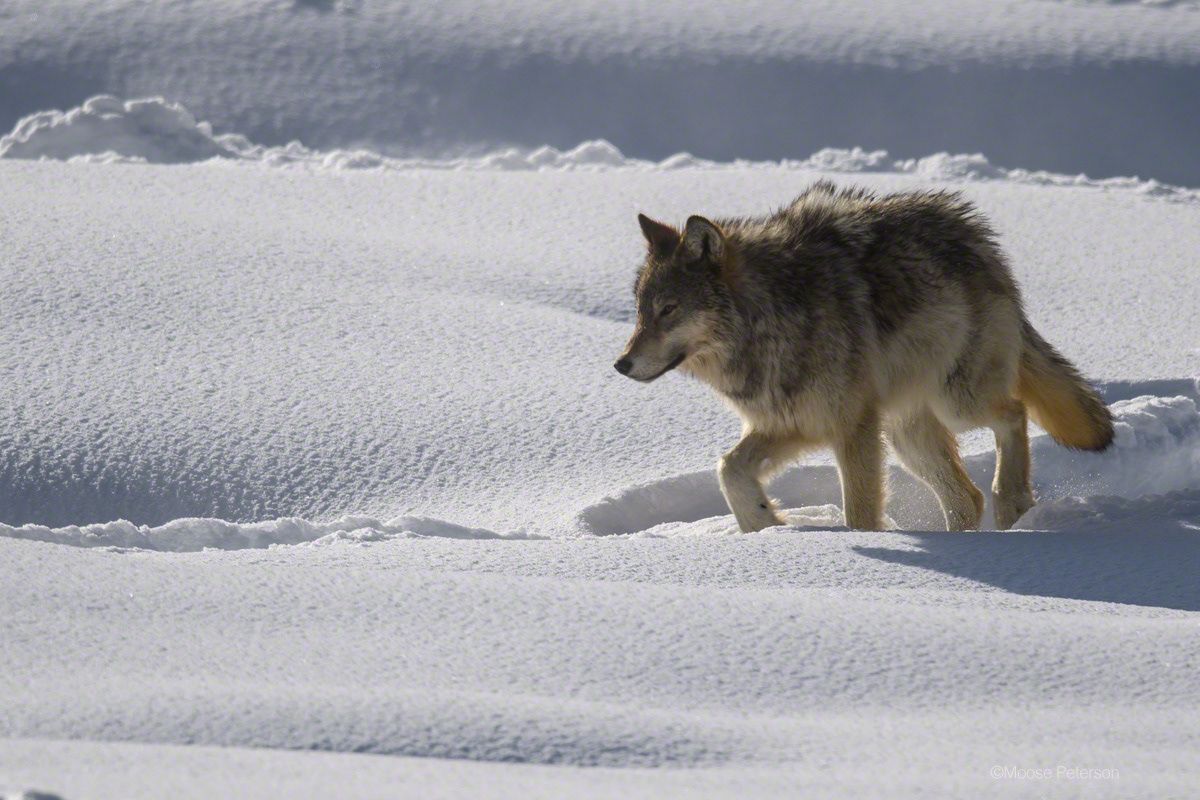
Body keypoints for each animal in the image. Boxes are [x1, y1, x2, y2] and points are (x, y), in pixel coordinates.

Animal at [614, 181, 1113, 532]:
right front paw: (763, 523)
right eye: (639, 312)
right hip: (905, 434)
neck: (771, 317)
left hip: (956, 404)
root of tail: (978, 236)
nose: (620, 364)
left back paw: (1010, 501)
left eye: (668, 310)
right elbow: (728, 469)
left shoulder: (851, 426)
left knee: (1014, 413)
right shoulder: (789, 423)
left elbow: (859, 513)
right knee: (965, 499)